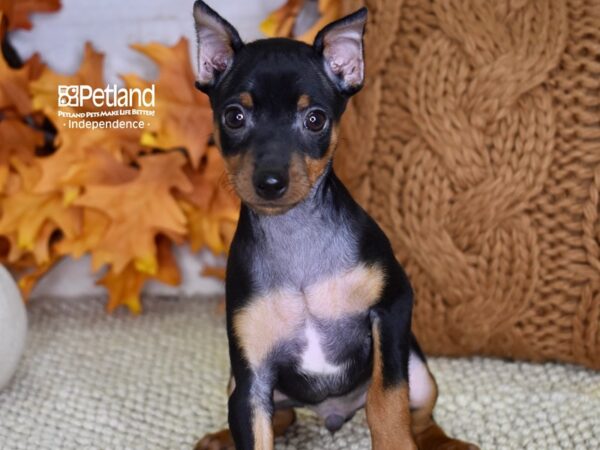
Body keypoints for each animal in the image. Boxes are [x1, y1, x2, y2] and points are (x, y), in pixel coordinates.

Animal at [192, 1, 478, 448]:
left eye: (315, 120)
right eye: (234, 116)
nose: (270, 182)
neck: (296, 237)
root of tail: (332, 410)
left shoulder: (393, 307)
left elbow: (387, 400)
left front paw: (394, 438)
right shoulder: (251, 378)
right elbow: (255, 429)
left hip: (419, 370)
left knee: (421, 415)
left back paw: (446, 443)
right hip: (239, 386)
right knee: (281, 416)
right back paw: (221, 437)